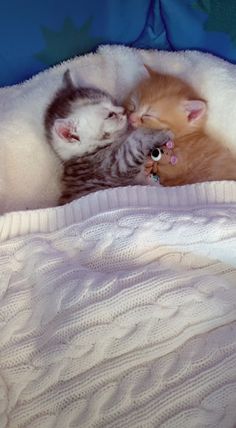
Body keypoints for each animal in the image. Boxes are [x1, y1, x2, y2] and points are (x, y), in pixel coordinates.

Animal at [44, 70, 171, 204]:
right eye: (110, 115)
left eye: (113, 102)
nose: (124, 110)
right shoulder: (113, 168)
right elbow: (134, 144)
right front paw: (157, 132)